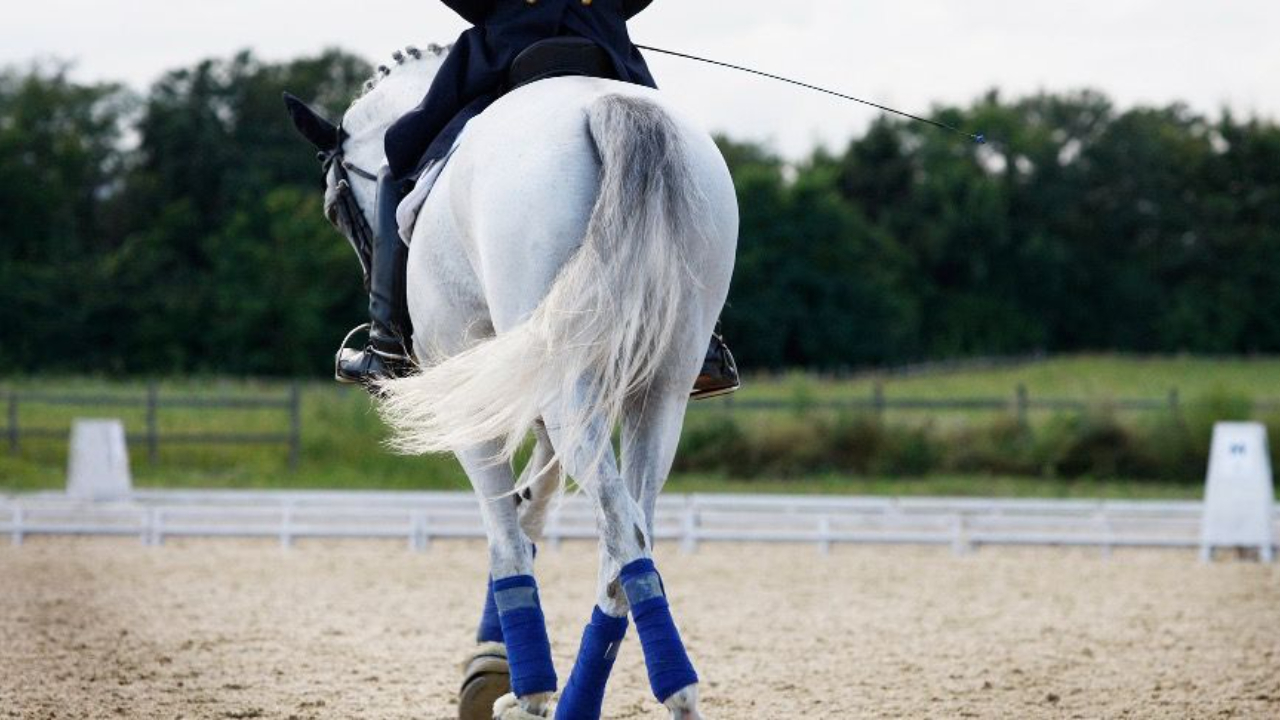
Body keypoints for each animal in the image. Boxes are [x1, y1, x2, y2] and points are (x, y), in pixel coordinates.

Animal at [286, 44, 738, 720]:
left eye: (337, 210)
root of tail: (606, 106)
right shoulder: (541, 393)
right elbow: (533, 506)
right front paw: (498, 663)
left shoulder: (475, 395)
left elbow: (505, 535)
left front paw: (514, 684)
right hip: (660, 390)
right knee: (630, 538)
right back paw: (608, 697)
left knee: (621, 530)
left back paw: (632, 694)